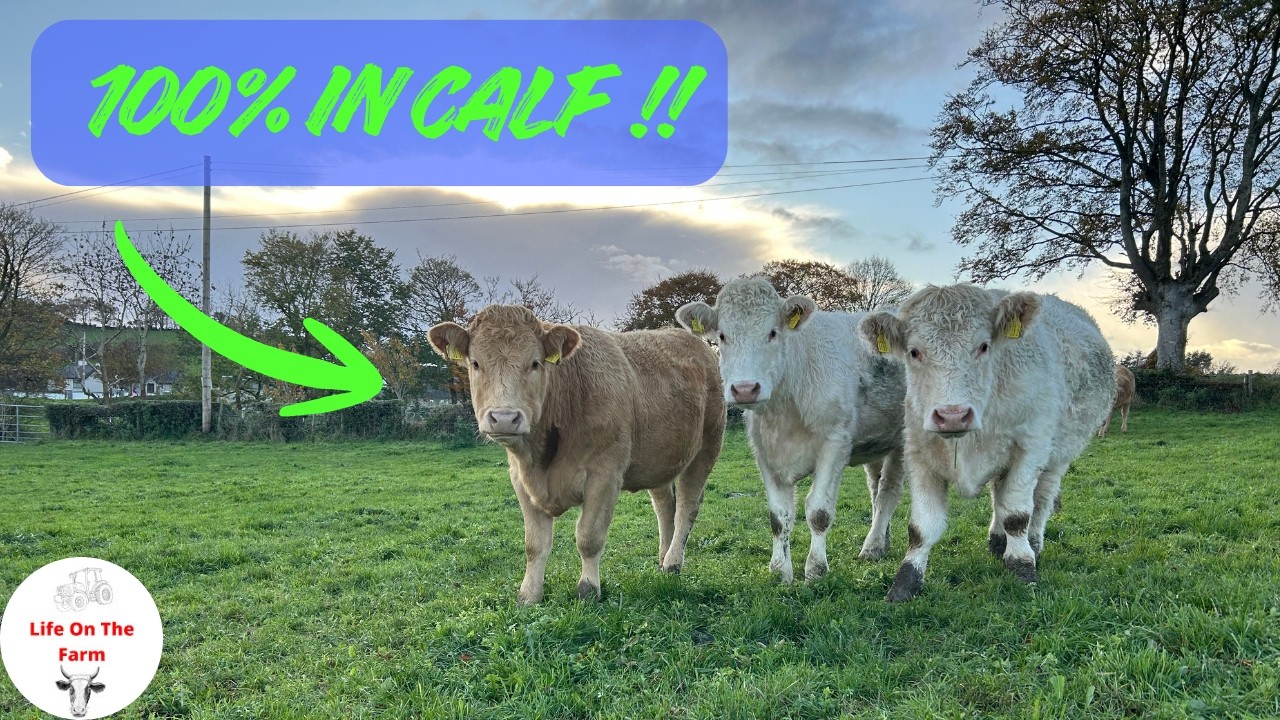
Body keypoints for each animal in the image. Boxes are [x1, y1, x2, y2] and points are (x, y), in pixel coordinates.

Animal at [429, 305, 724, 604]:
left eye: (535, 363)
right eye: (476, 363)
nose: (504, 418)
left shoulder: (605, 475)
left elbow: (588, 538)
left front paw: (588, 589)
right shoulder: (521, 479)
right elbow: (534, 544)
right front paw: (529, 595)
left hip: (707, 446)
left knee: (687, 506)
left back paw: (673, 562)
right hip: (659, 460)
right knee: (665, 505)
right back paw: (663, 560)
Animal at [676, 277, 907, 584]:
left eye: (773, 332)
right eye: (722, 336)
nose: (745, 389)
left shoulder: (835, 443)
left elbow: (819, 512)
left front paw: (815, 570)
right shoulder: (764, 449)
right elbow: (778, 516)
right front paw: (780, 571)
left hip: (904, 439)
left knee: (888, 493)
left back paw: (872, 547)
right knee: (875, 488)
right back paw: (882, 543)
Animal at [859, 284, 1113, 602]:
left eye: (983, 346)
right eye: (914, 352)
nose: (952, 415)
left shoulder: (1030, 448)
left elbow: (1017, 514)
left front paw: (1022, 565)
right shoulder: (919, 452)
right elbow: (921, 527)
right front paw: (905, 582)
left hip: (1059, 456)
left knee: (1041, 500)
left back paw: (1033, 544)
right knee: (998, 496)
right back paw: (997, 540)